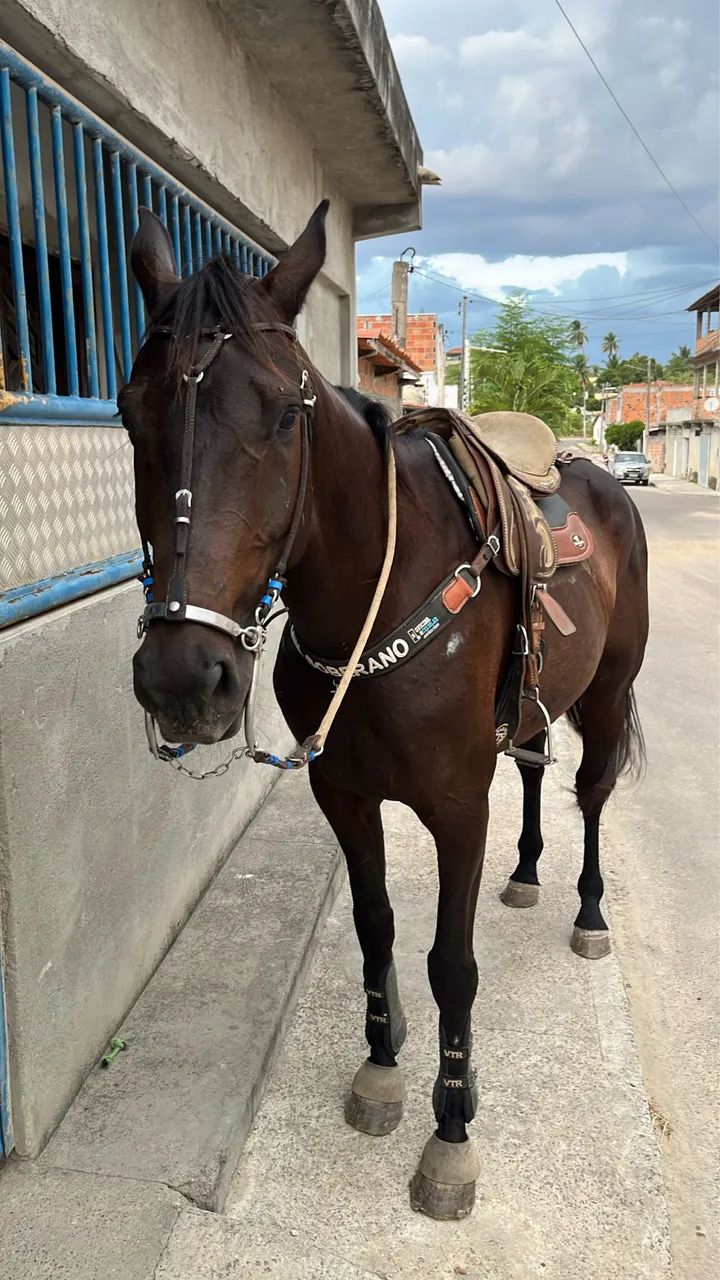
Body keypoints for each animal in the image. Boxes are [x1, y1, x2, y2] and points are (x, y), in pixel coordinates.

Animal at [123, 200, 648, 1220]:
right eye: (130, 411)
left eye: (286, 412)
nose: (182, 680)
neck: (377, 601)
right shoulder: (345, 796)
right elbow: (376, 929)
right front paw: (379, 1066)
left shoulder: (456, 808)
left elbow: (452, 963)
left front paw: (451, 1129)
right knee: (534, 767)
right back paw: (527, 872)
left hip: (607, 696)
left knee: (593, 794)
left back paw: (586, 911)